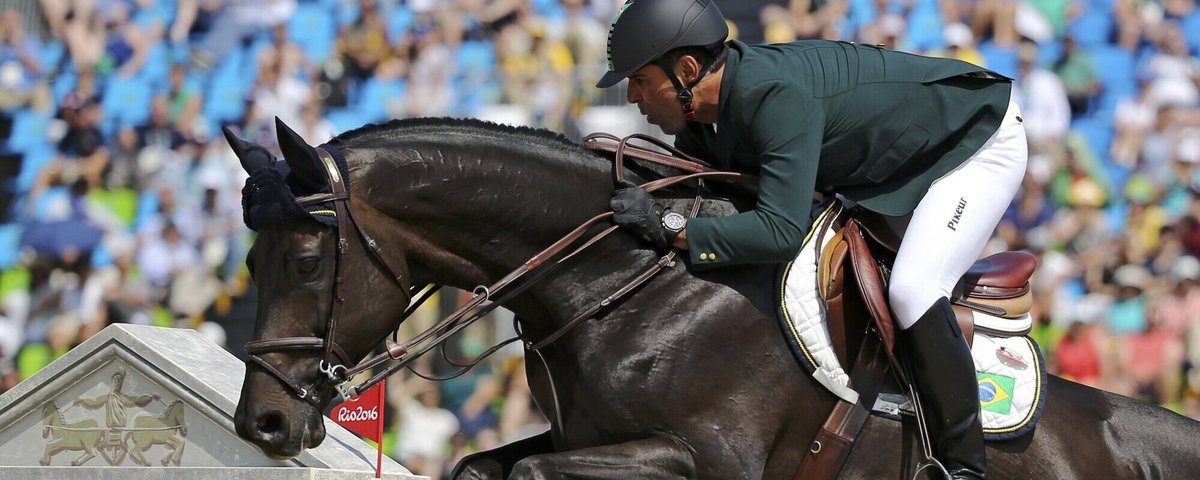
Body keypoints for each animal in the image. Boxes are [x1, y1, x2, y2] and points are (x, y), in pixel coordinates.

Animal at [226, 117, 1200, 480]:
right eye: (251, 261)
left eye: (307, 262)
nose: (262, 425)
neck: (619, 284)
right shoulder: (582, 435)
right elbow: (485, 467)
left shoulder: (708, 459)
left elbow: (532, 474)